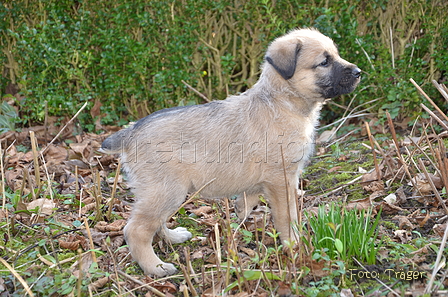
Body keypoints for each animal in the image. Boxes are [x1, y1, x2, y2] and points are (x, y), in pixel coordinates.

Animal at [100, 27, 360, 276]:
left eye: (335, 55)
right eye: (324, 62)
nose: (358, 72)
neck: (281, 100)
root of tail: (131, 131)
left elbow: (250, 199)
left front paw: (241, 211)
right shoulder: (282, 179)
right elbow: (288, 217)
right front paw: (294, 246)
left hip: (165, 192)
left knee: (156, 222)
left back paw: (174, 237)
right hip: (166, 190)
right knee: (136, 230)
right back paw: (156, 267)